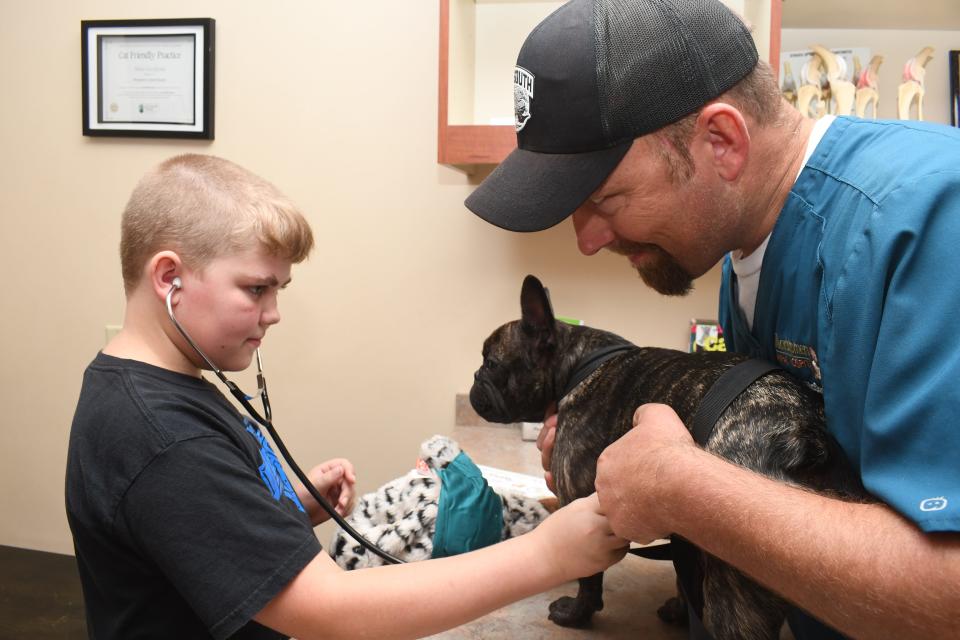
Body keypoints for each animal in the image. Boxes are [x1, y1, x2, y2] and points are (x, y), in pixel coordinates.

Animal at [468, 276, 868, 640]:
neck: (577, 362)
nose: (473, 382)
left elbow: (589, 577)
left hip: (735, 594)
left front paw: (576, 613)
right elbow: (680, 572)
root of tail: (805, 431)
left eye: (491, 364)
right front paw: (678, 608)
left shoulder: (577, 501)